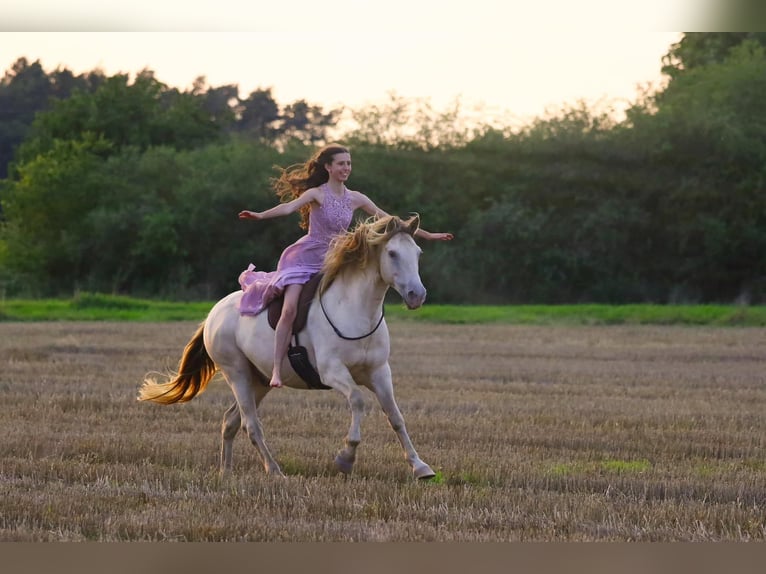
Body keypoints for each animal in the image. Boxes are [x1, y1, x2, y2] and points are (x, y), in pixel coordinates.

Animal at [139, 215, 438, 482]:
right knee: (251, 424)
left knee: (230, 421)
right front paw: (346, 458)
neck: (355, 310)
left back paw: (226, 472)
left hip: (258, 380)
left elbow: (395, 416)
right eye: (392, 253)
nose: (417, 295)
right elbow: (357, 400)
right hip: (237, 374)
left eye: (418, 253)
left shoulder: (379, 372)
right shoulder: (332, 372)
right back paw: (274, 470)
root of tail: (214, 313)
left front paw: (420, 466)